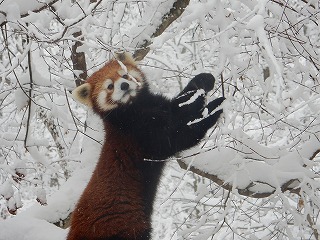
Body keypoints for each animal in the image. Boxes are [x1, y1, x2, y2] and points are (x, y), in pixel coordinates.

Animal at [66, 53, 224, 240]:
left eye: (125, 75)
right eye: (110, 86)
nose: (124, 85)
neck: (134, 107)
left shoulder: (160, 107)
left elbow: (182, 103)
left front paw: (203, 80)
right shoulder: (143, 135)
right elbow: (181, 135)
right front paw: (214, 108)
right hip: (123, 226)